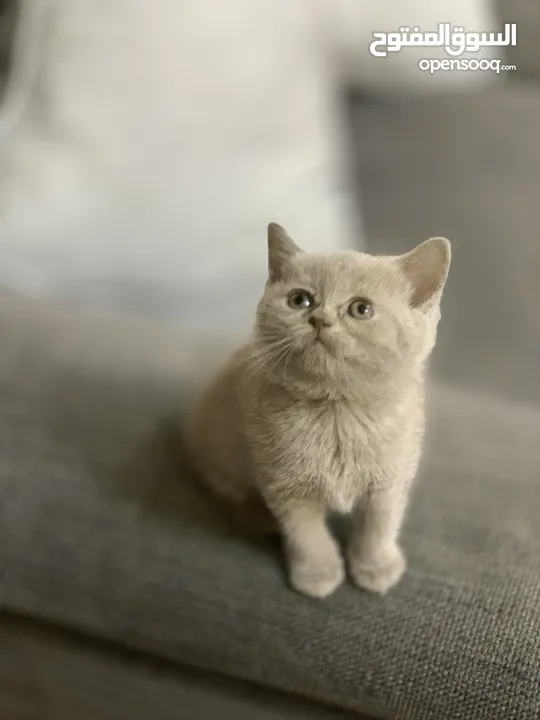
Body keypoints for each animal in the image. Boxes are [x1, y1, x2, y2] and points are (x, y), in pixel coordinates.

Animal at [188, 222, 450, 600]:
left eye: (361, 309)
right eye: (300, 300)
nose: (319, 319)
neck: (337, 413)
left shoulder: (391, 480)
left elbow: (379, 526)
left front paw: (375, 567)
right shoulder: (284, 487)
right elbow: (307, 535)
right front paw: (318, 574)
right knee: (230, 492)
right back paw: (258, 518)